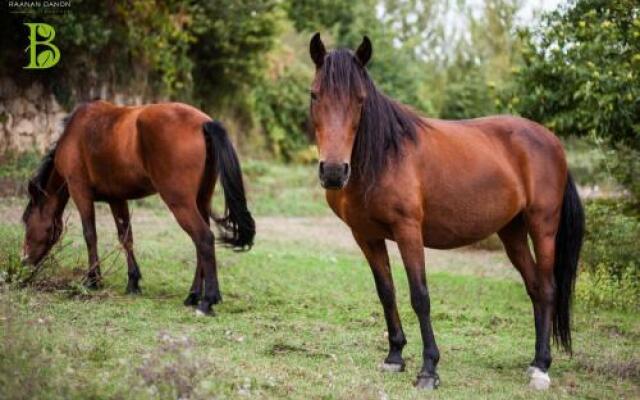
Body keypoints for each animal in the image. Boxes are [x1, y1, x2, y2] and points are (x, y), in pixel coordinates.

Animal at [20, 100, 255, 316]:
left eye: (27, 222)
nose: (24, 262)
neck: (74, 133)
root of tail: (203, 123)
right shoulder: (117, 199)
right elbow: (126, 237)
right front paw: (133, 282)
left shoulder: (80, 191)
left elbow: (90, 235)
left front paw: (93, 280)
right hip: (201, 201)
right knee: (200, 243)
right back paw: (193, 295)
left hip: (180, 203)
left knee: (204, 239)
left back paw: (207, 301)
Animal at [310, 32, 584, 390]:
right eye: (314, 95)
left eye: (360, 99)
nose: (333, 171)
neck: (384, 155)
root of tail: (552, 141)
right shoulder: (366, 236)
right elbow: (386, 292)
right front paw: (394, 357)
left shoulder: (408, 231)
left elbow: (420, 296)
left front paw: (429, 369)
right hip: (512, 232)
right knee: (536, 287)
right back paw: (535, 361)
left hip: (543, 226)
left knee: (549, 289)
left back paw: (542, 368)